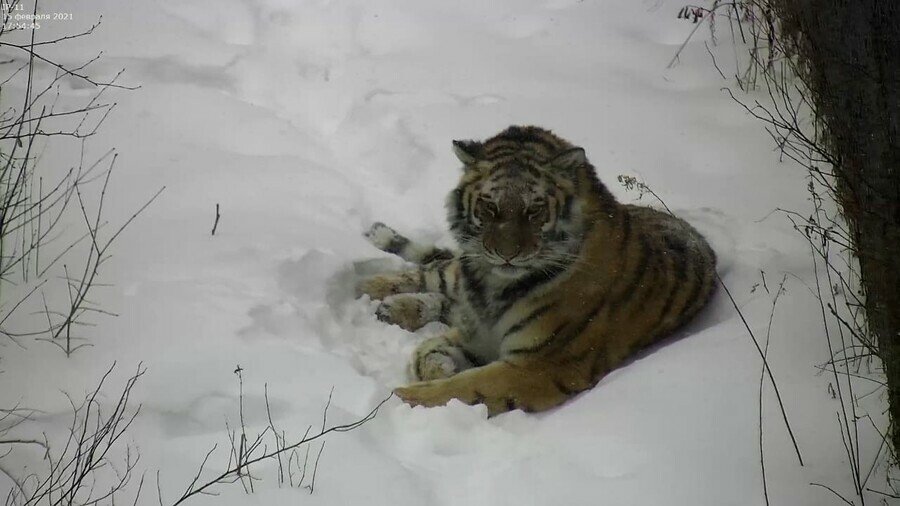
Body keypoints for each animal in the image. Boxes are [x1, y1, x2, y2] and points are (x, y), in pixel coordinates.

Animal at [356, 125, 712, 416]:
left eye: (534, 210)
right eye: (490, 206)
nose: (506, 255)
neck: (493, 288)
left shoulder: (539, 364)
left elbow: (464, 386)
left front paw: (402, 399)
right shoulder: (479, 330)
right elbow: (428, 351)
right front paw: (434, 369)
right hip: (459, 270)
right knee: (433, 273)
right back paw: (372, 289)